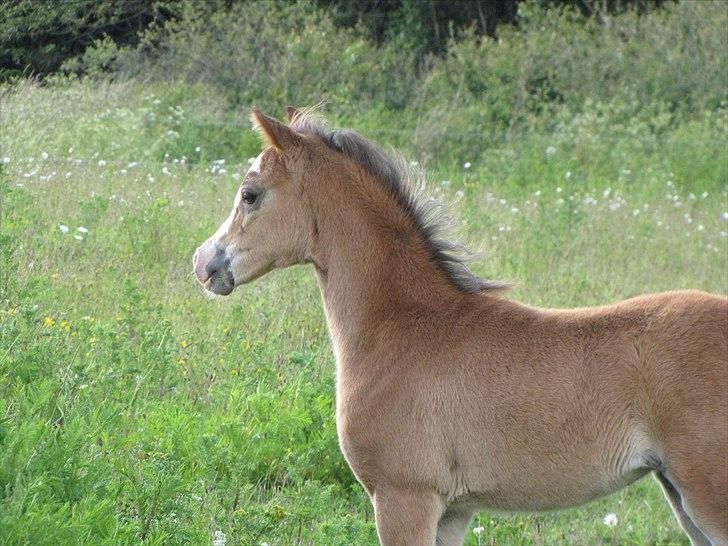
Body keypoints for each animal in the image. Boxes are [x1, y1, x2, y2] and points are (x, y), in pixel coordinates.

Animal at [192, 107, 728, 546]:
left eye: (250, 195)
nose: (202, 262)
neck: (403, 326)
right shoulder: (453, 510)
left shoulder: (404, 497)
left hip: (707, 493)